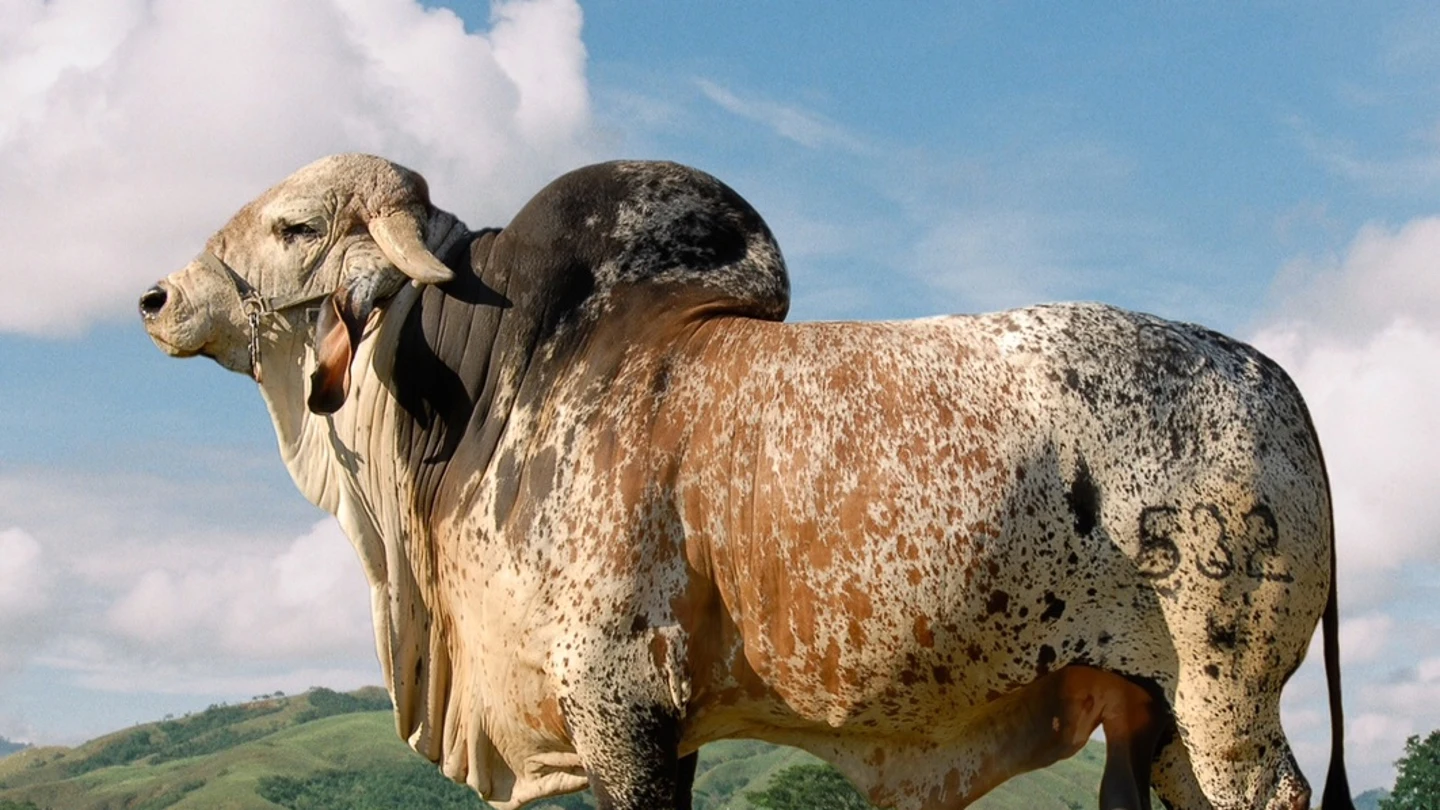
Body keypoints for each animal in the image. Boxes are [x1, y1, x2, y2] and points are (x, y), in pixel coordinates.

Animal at [139, 154, 1354, 810]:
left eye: (294, 225)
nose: (158, 297)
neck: (493, 388)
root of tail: (1277, 377)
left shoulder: (617, 701)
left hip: (1228, 690)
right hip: (1164, 709)